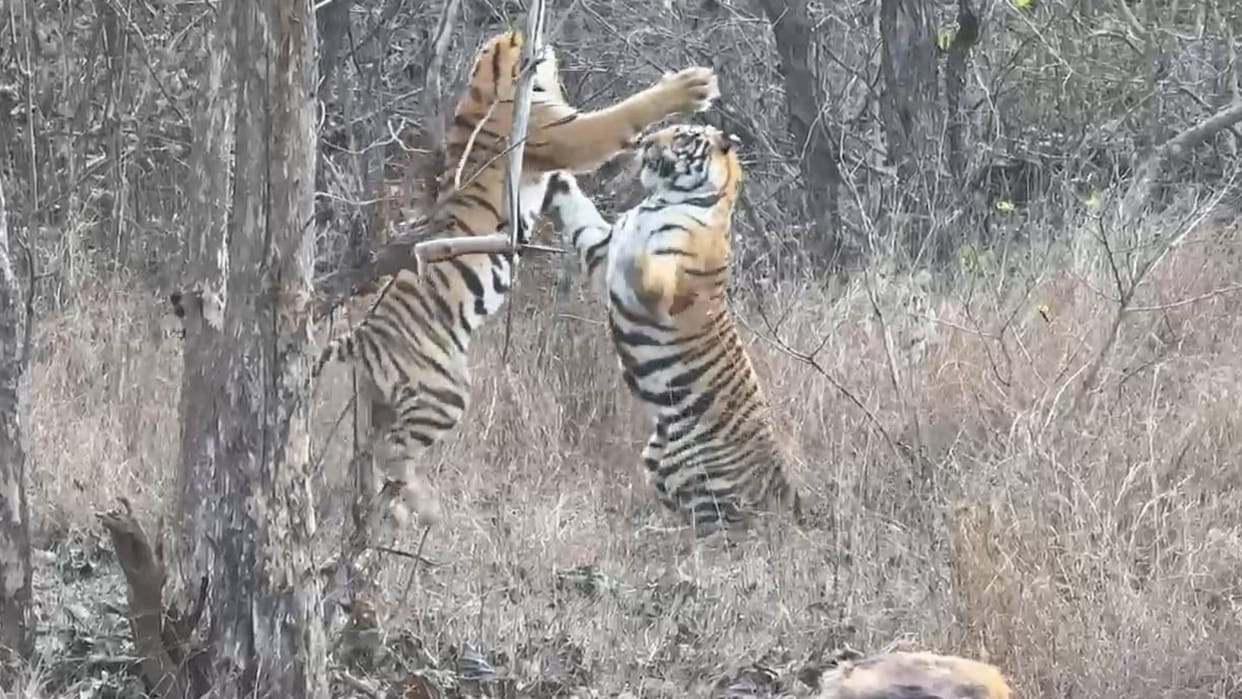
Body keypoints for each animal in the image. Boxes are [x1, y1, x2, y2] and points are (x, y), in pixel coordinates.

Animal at [315, 32, 721, 531]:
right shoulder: (562, 131)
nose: (544, 42)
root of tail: (361, 337)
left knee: (369, 457)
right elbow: (619, 116)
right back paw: (424, 508)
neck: (488, 87)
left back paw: (393, 512)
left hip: (383, 404)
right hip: (444, 393)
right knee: (392, 452)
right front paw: (688, 87)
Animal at [540, 124, 802, 538]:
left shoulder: (655, 281)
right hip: (658, 460)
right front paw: (554, 174)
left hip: (704, 481)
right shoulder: (601, 249)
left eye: (682, 137)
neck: (662, 199)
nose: (644, 141)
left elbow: (651, 267)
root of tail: (781, 480)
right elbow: (580, 211)